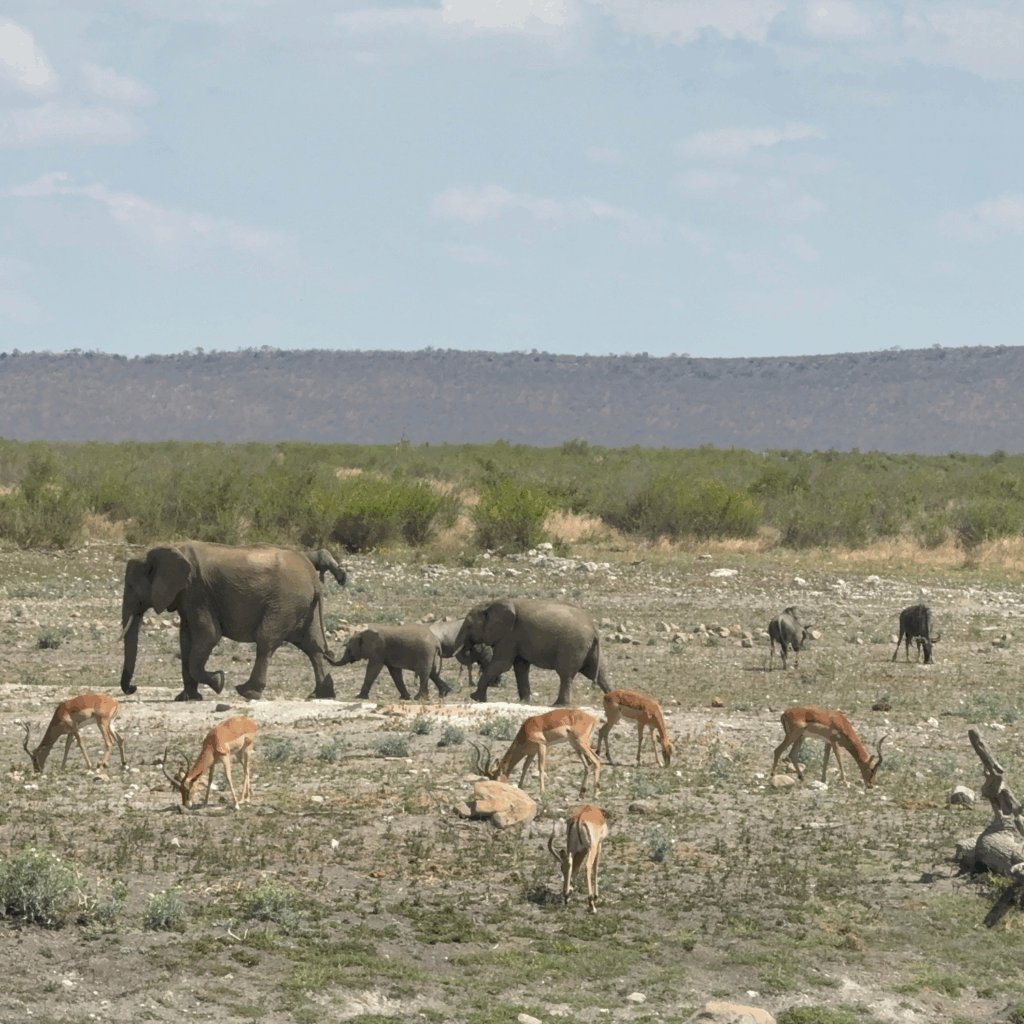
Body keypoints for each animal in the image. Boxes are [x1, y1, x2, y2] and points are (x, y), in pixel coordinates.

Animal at [119, 541, 343, 702]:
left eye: (130, 586)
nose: (132, 688)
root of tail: (314, 577)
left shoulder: (197, 593)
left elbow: (209, 636)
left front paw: (218, 681)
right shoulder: (187, 597)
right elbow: (186, 640)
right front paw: (186, 698)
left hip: (286, 602)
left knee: (266, 641)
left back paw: (247, 692)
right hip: (303, 606)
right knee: (313, 646)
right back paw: (321, 695)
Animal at [453, 598, 611, 706]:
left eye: (469, 626)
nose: (471, 647)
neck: (491, 603)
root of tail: (594, 628)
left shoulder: (509, 634)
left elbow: (502, 664)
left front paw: (475, 698)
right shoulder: (515, 637)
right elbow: (520, 667)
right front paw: (524, 702)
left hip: (573, 645)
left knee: (566, 674)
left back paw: (558, 705)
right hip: (588, 648)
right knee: (599, 673)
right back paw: (613, 701)